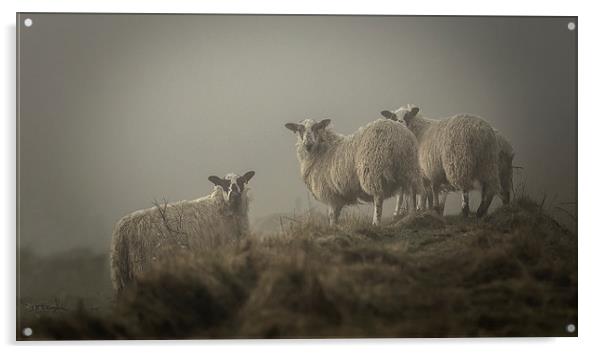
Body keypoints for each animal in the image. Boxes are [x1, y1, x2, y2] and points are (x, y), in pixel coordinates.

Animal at [110, 171, 253, 296]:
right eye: (223, 183)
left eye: (241, 181)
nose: (234, 195)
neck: (220, 208)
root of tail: (121, 231)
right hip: (142, 268)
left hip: (122, 279)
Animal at [282, 117, 420, 225]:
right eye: (300, 129)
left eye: (317, 127)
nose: (308, 144)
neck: (322, 151)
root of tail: (399, 136)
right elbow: (336, 215)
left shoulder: (330, 193)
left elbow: (332, 215)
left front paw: (332, 228)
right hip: (408, 168)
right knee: (411, 192)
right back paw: (412, 215)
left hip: (373, 170)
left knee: (378, 198)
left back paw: (376, 222)